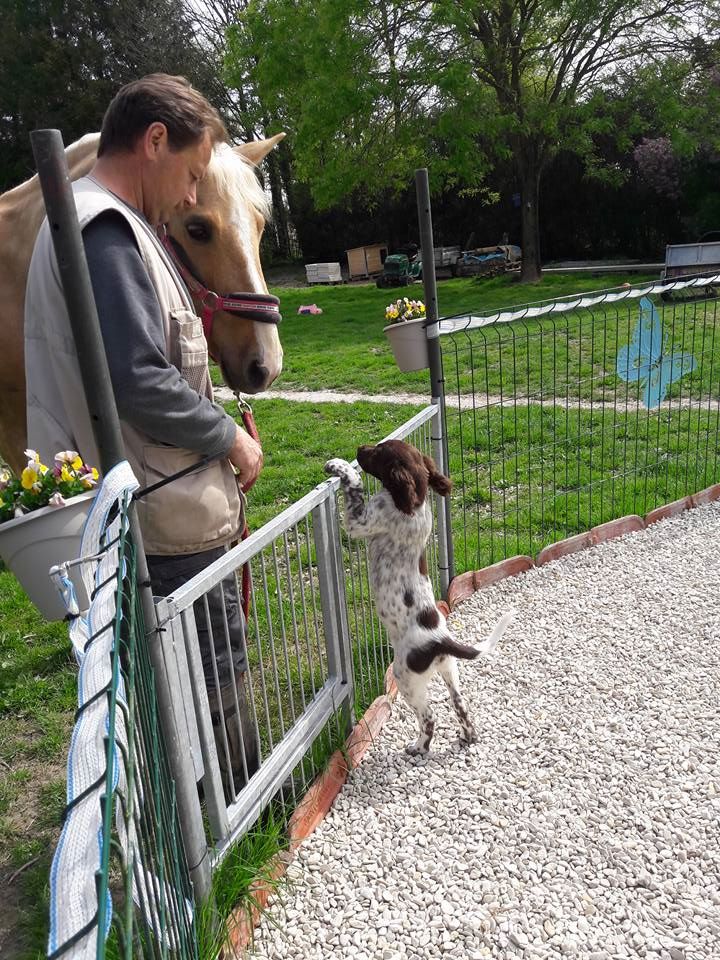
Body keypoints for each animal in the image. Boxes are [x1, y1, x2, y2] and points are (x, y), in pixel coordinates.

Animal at [324, 436, 510, 756]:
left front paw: (339, 466)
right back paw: (468, 736)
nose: (359, 449)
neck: (417, 499)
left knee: (429, 716)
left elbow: (355, 488)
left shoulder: (362, 520)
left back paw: (419, 747)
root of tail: (441, 640)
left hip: (405, 676)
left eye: (377, 452)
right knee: (460, 704)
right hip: (449, 669)